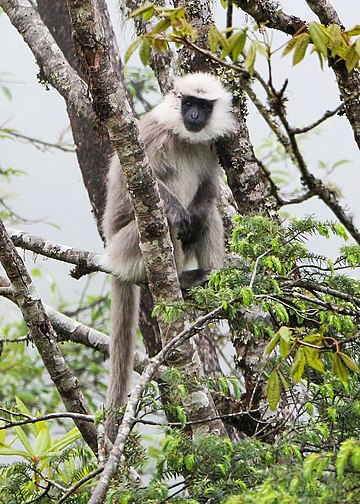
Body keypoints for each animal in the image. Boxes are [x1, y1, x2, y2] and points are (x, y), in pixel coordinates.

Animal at [101, 72, 236, 440]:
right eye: (187, 102)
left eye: (203, 106)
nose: (194, 116)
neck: (183, 137)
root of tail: (112, 257)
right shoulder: (150, 136)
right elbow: (130, 182)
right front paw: (176, 210)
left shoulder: (208, 147)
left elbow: (209, 189)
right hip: (128, 246)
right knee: (163, 223)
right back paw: (179, 276)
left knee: (209, 214)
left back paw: (210, 277)